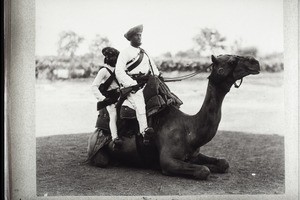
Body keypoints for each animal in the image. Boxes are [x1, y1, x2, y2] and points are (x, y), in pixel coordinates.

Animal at [85, 54, 258, 180]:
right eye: (231, 61)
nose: (255, 62)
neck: (190, 130)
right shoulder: (168, 161)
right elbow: (203, 170)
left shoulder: (194, 154)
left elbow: (223, 163)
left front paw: (216, 165)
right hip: (97, 150)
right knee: (101, 160)